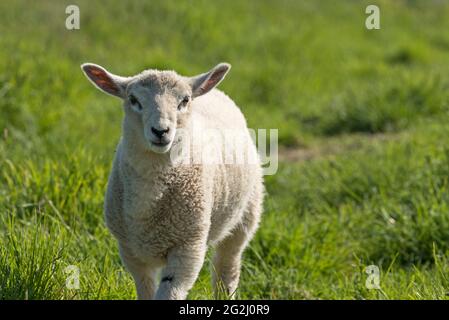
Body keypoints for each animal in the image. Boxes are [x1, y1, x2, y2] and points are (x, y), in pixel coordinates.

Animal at [81, 62, 264, 300]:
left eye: (184, 100)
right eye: (133, 100)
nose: (160, 131)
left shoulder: (188, 247)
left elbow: (169, 292)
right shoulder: (130, 250)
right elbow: (146, 291)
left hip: (246, 214)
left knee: (226, 269)